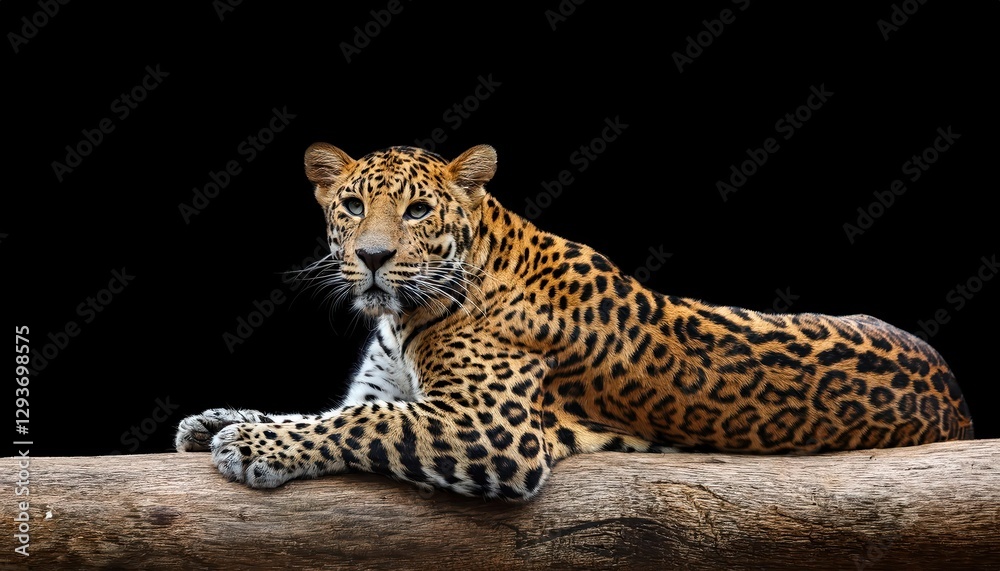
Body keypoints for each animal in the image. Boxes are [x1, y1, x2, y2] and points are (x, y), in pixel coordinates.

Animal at [174, 143, 974, 500]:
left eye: (419, 210)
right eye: (350, 206)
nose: (372, 257)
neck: (403, 318)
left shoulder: (489, 428)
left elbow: (359, 425)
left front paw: (249, 444)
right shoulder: (384, 388)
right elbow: (322, 411)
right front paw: (217, 419)